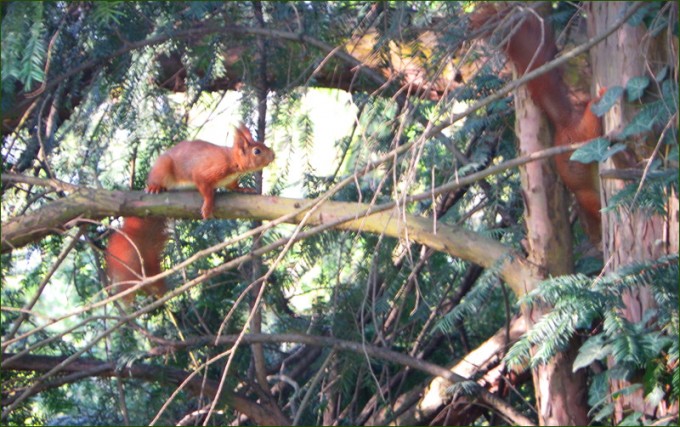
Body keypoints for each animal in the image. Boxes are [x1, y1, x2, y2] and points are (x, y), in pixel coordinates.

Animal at [105, 124, 275, 303]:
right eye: (257, 151)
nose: (273, 155)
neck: (231, 160)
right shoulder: (206, 173)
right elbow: (205, 188)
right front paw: (208, 205)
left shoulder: (229, 180)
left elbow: (233, 186)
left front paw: (244, 189)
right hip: (163, 170)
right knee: (158, 179)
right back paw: (154, 187)